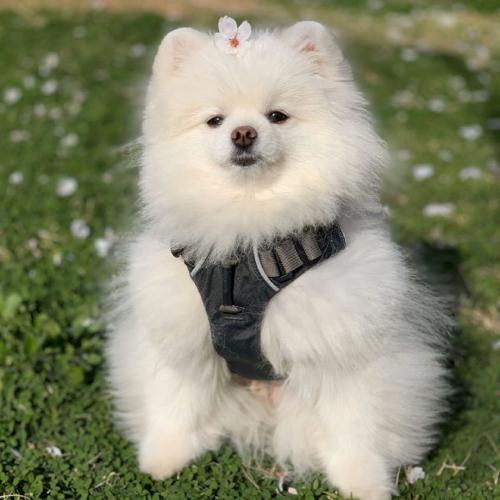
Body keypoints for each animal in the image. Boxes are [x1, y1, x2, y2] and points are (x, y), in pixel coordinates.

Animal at [106, 17, 449, 500]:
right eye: (215, 120)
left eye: (277, 116)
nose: (243, 133)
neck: (250, 236)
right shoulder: (182, 339)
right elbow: (176, 401)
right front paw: (162, 459)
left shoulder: (345, 350)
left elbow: (355, 427)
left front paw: (364, 482)